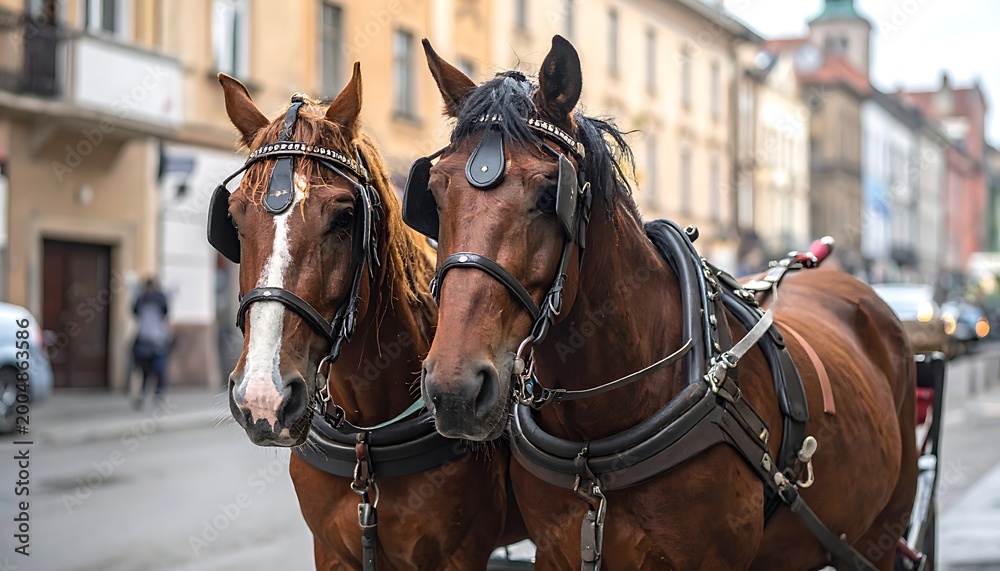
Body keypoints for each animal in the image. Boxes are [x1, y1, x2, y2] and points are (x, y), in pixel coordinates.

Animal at [213, 64, 523, 570]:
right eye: (235, 220)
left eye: (344, 217)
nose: (263, 397)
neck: (368, 440)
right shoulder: (332, 550)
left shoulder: (459, 554)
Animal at [410, 36, 917, 570]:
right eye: (434, 195)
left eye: (551, 194)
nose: (455, 389)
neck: (595, 438)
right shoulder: (554, 553)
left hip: (885, 529)